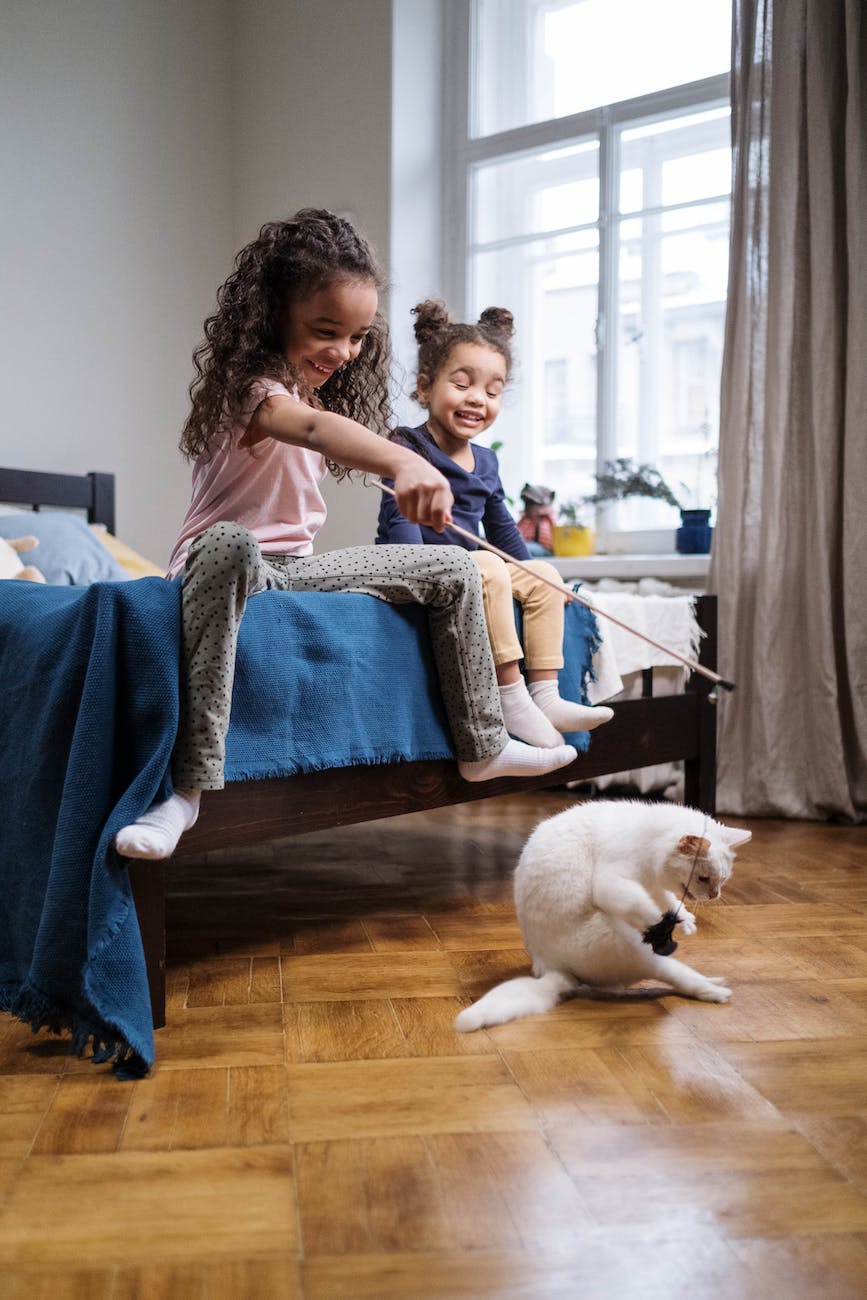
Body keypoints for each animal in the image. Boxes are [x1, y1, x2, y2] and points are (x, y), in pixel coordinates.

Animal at [454, 795, 753, 1029]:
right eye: (704, 879)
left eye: (723, 880)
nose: (715, 895)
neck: (650, 839)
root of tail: (549, 966)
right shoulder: (612, 883)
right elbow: (646, 907)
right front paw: (662, 924)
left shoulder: (652, 886)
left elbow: (665, 900)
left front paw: (685, 920)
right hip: (633, 949)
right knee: (677, 974)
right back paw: (715, 991)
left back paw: (713, 979)